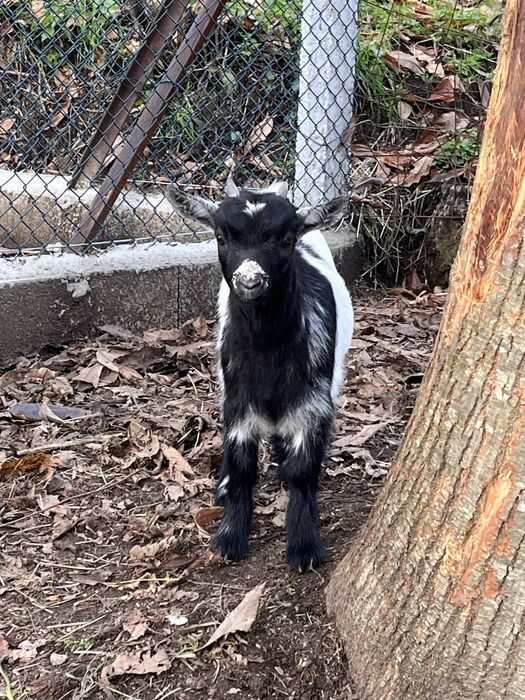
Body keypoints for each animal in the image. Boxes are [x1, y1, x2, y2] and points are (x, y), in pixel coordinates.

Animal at [167, 180, 354, 571]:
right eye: (221, 237)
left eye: (286, 239)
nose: (250, 281)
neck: (268, 352)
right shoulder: (238, 398)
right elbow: (242, 467)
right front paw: (229, 538)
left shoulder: (313, 400)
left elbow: (302, 471)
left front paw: (304, 546)